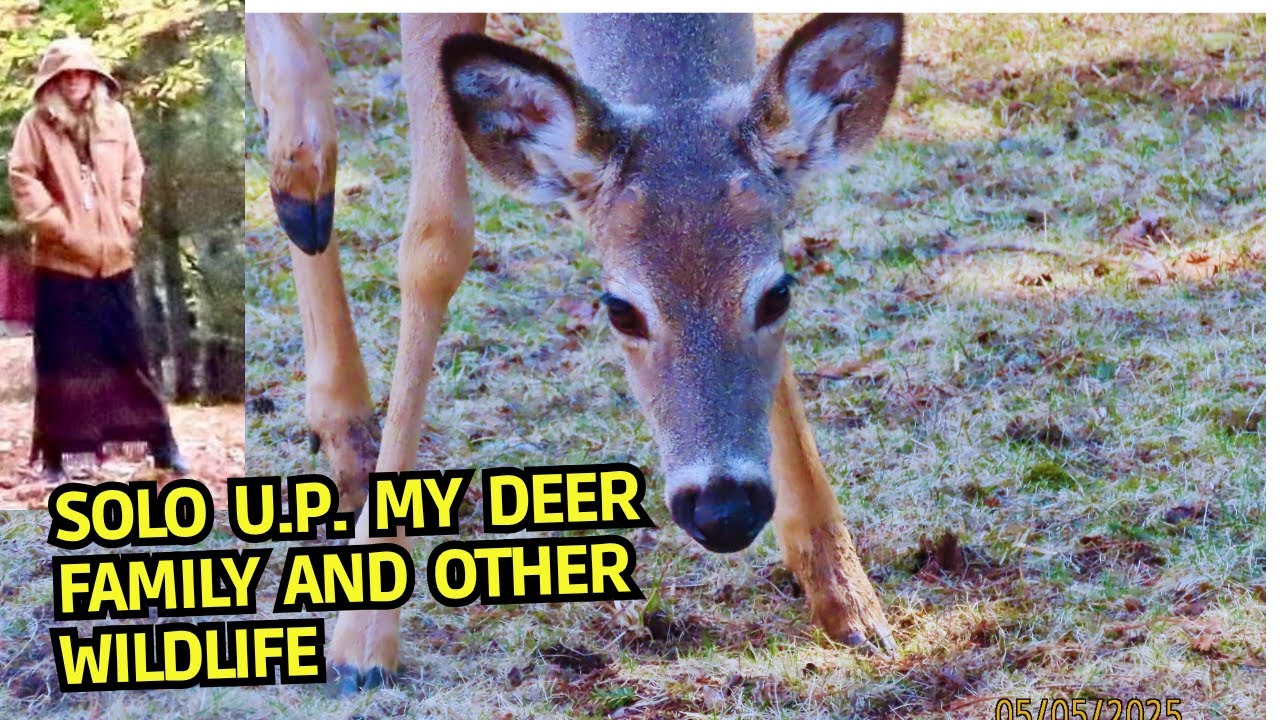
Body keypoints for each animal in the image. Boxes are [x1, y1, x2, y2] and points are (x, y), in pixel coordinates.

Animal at [247, 13, 904, 692]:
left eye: (777, 296)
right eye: (620, 309)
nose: (724, 509)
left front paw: (848, 596)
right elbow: (435, 242)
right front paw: (361, 642)